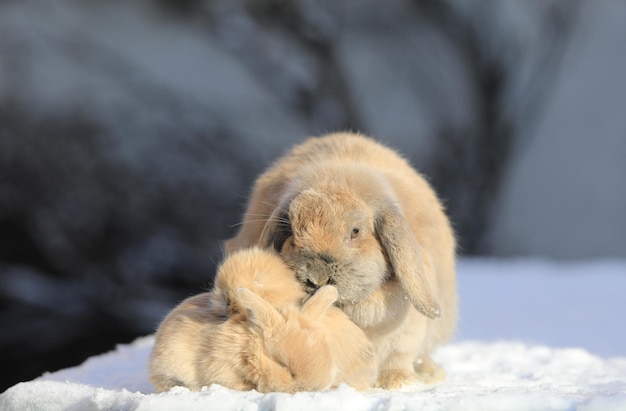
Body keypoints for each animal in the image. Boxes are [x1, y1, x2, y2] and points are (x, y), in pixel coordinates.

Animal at [224, 132, 454, 390]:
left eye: (355, 231)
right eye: (291, 231)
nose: (315, 278)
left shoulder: (405, 332)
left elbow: (398, 355)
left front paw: (398, 382)